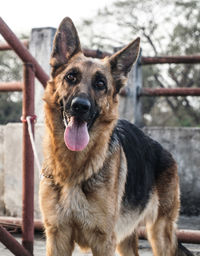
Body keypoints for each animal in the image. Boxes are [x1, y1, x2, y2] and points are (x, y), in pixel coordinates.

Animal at [39, 17, 194, 256]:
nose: (80, 106)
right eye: (71, 77)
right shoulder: (57, 238)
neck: (74, 168)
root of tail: (162, 149)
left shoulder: (103, 242)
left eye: (100, 84)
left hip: (160, 234)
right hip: (126, 239)